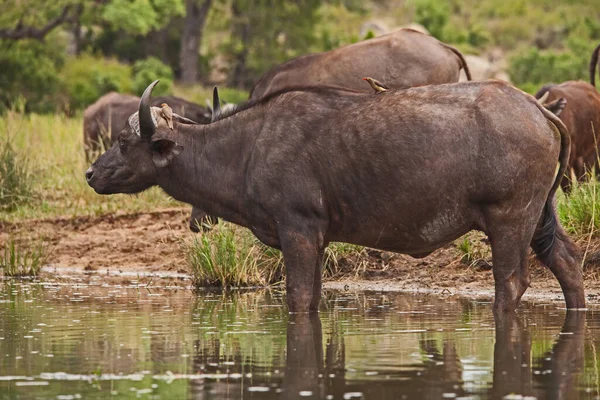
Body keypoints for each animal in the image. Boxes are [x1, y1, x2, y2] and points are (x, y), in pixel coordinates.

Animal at [86, 79, 584, 314]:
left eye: (125, 143)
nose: (91, 173)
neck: (247, 147)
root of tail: (536, 108)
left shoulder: (299, 232)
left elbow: (296, 298)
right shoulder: (319, 241)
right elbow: (313, 299)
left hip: (509, 220)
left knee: (511, 284)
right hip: (540, 218)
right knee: (567, 262)